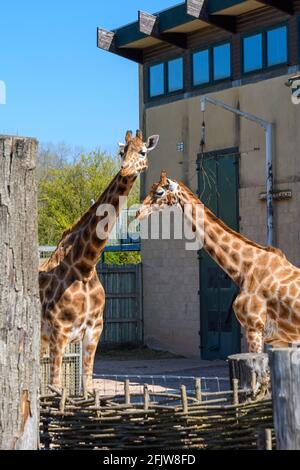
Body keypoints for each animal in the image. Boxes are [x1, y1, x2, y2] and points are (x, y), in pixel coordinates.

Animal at [39, 130, 159, 392]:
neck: (84, 266)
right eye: (121, 152)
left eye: (142, 151)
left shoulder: (94, 330)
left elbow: (88, 387)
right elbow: (56, 388)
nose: (125, 170)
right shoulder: (59, 332)